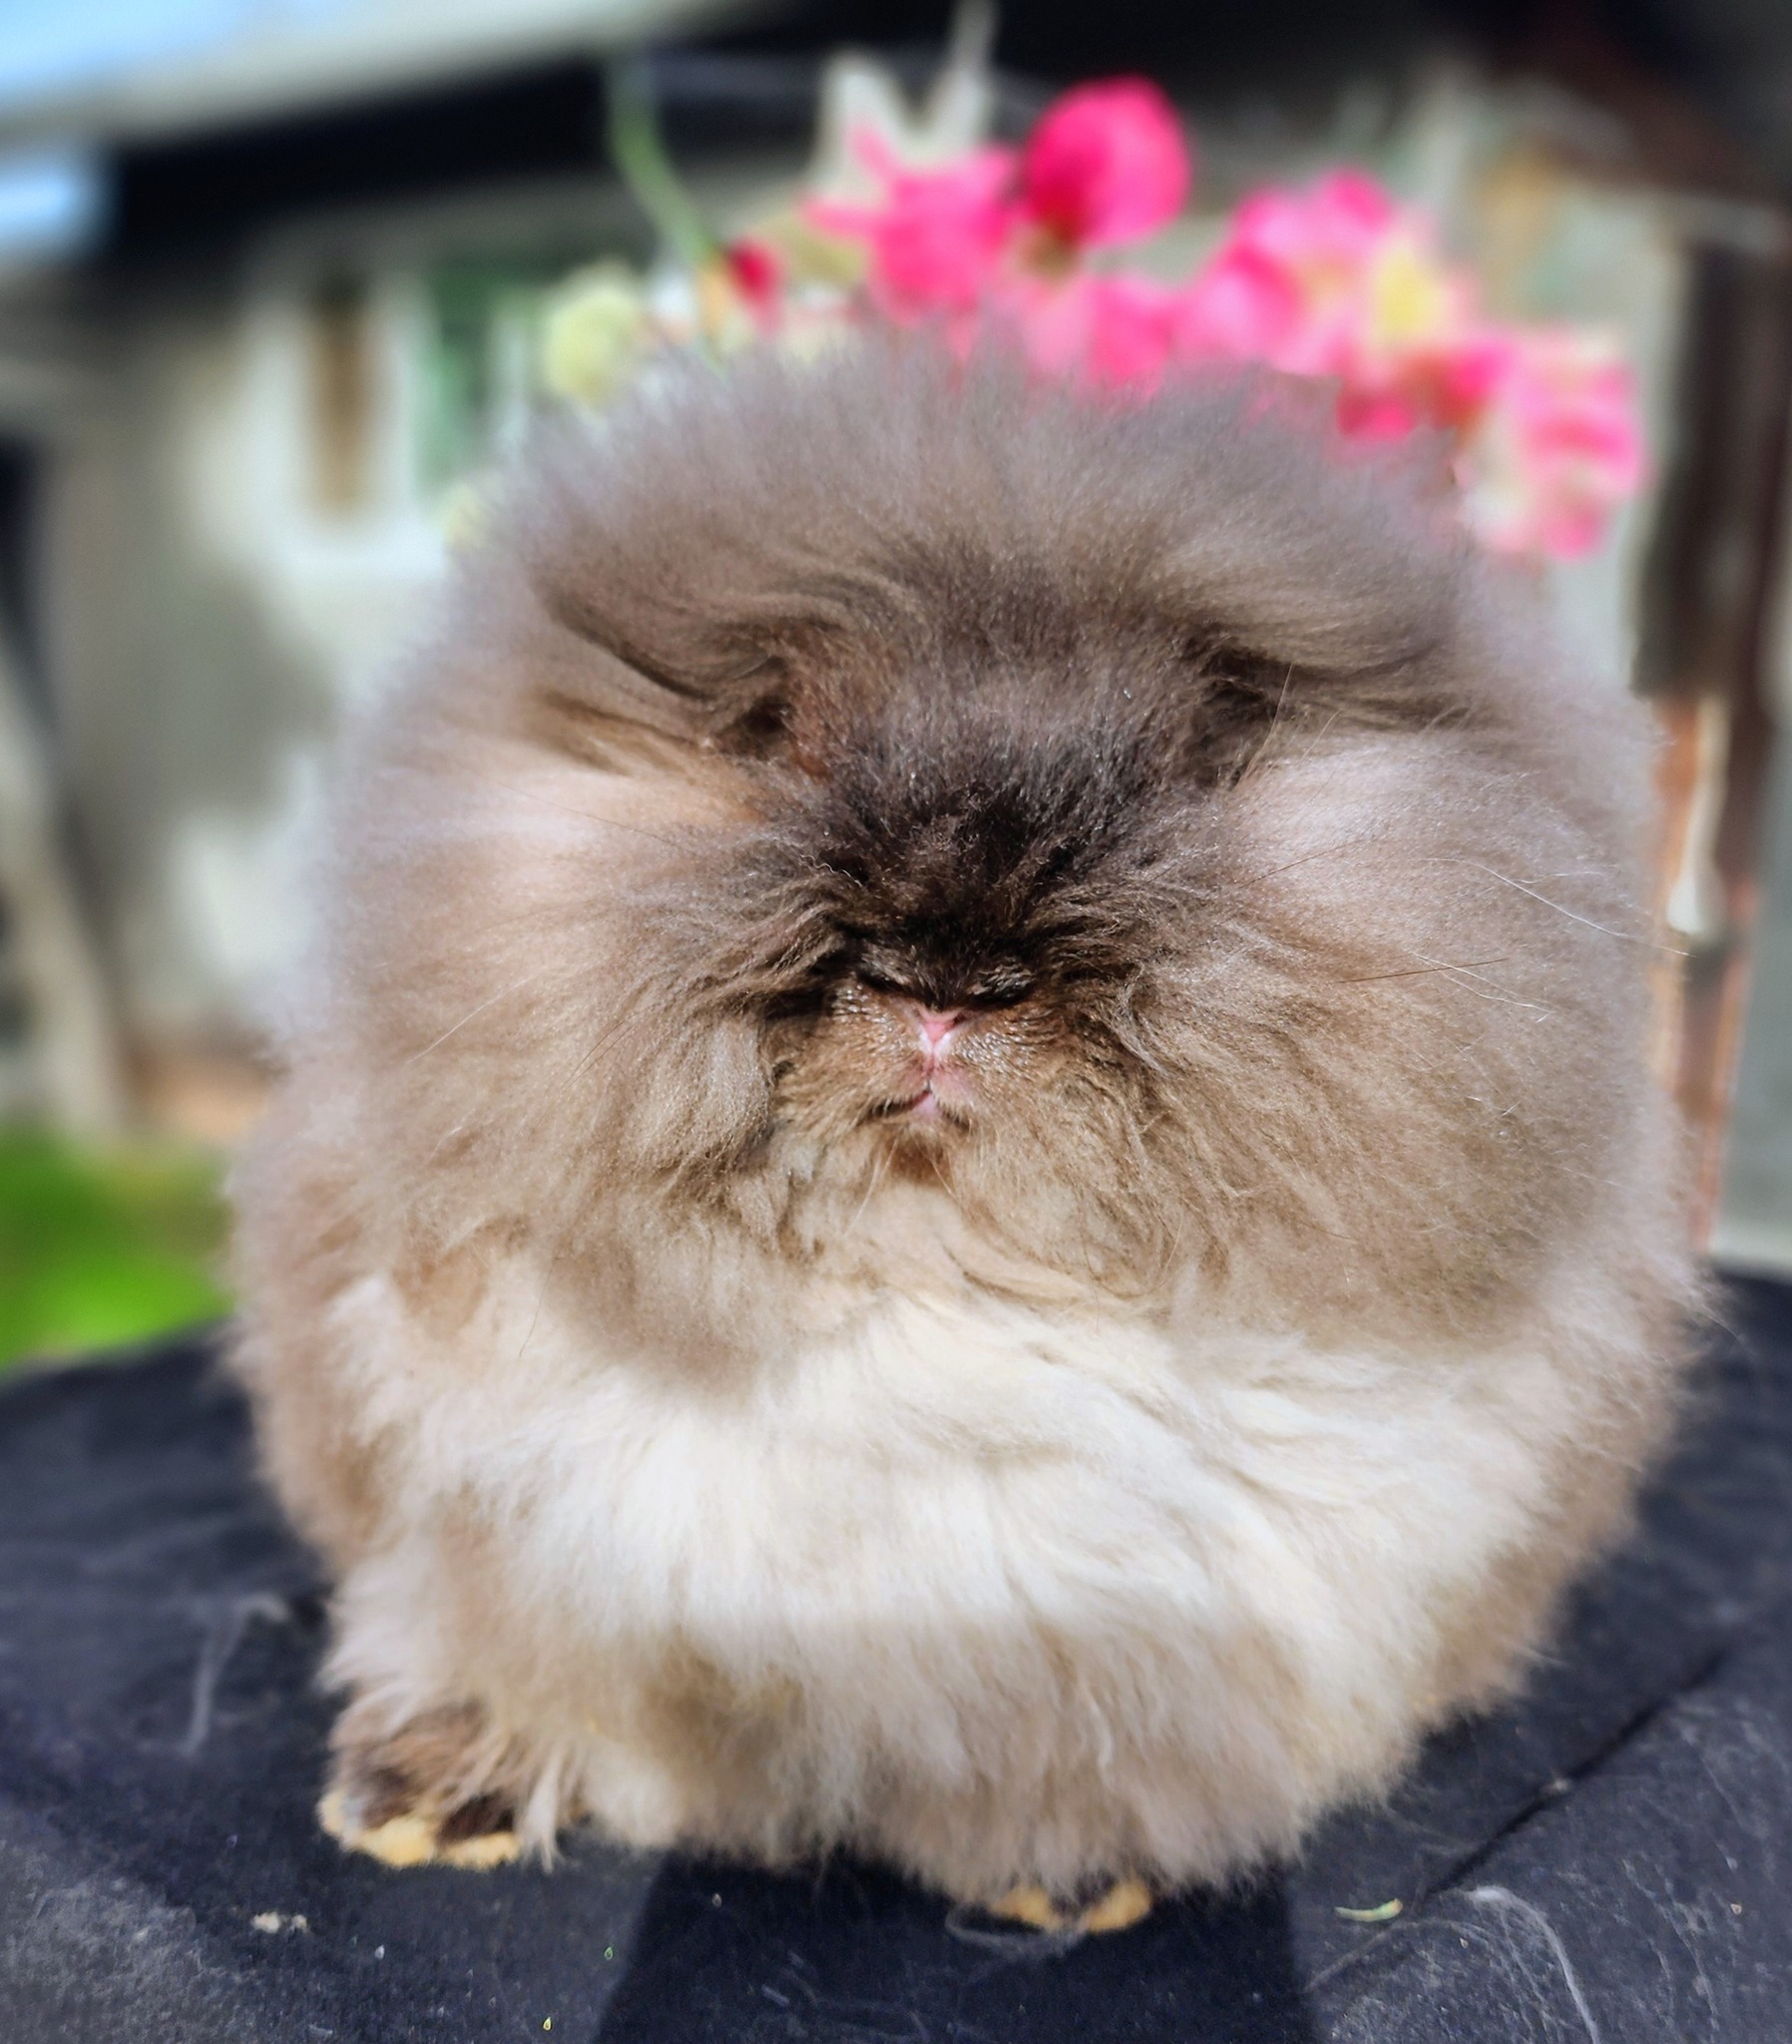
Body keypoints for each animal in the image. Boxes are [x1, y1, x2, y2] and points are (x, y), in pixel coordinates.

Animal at [231, 335, 1692, 1926]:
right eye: (768, 729)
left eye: (1208, 748)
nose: (946, 974)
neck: (941, 1258)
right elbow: (504, 1654)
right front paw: (426, 1802)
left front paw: (1073, 1876)